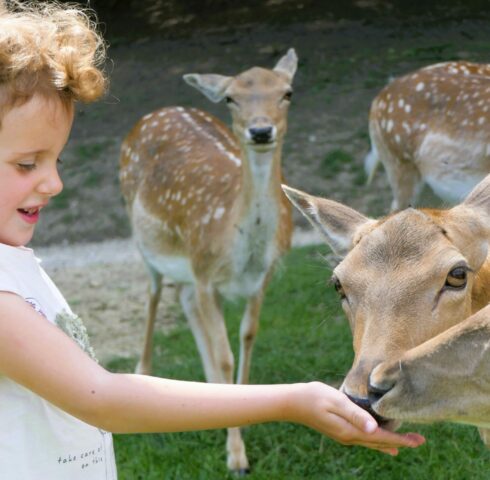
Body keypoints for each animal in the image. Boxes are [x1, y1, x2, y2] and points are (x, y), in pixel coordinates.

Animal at [119, 49, 294, 472]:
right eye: (231, 98)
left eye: (287, 92)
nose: (261, 131)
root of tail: (157, 111)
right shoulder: (204, 272)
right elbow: (227, 355)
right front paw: (236, 456)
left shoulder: (261, 278)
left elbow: (248, 337)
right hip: (143, 238)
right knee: (153, 296)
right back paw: (144, 374)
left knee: (183, 301)